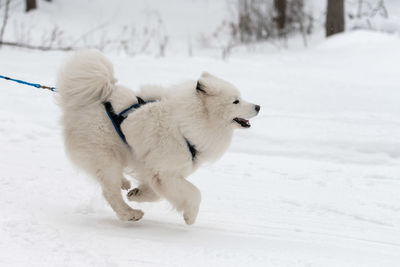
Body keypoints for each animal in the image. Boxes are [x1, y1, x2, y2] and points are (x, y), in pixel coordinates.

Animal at [57, 49, 260, 224]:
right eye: (236, 101)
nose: (258, 106)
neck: (186, 124)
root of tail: (81, 103)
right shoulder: (165, 171)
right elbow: (194, 192)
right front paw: (190, 216)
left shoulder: (155, 169)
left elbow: (155, 192)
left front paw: (137, 193)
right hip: (106, 157)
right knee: (109, 192)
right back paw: (130, 214)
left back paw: (125, 184)